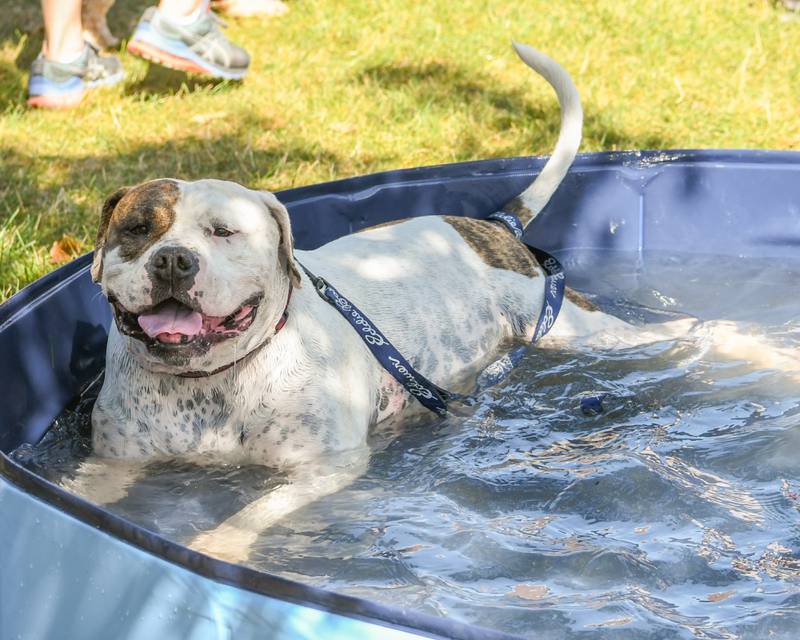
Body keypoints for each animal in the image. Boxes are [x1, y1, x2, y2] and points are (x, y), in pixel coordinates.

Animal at [76, 42, 800, 560]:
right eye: (137, 228)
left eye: (223, 232)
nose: (174, 259)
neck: (213, 383)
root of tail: (491, 226)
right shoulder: (114, 462)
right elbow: (89, 496)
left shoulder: (326, 469)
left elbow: (251, 514)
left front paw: (220, 546)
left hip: (578, 328)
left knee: (700, 330)